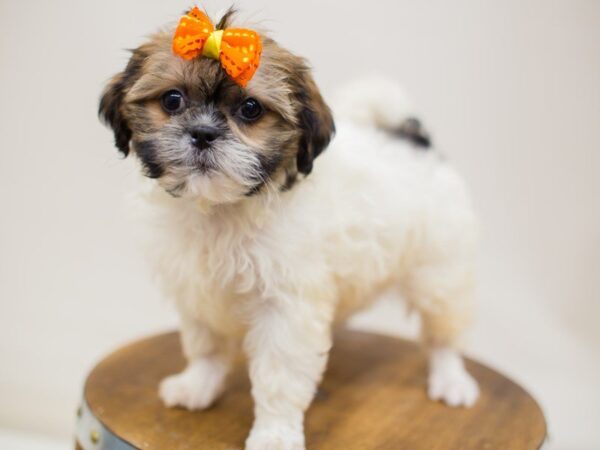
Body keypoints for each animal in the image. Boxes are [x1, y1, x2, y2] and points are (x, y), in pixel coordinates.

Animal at [101, 7, 480, 450]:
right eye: (172, 100)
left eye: (250, 108)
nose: (203, 134)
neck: (222, 208)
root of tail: (413, 140)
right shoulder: (197, 290)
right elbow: (206, 345)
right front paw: (198, 385)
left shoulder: (285, 306)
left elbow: (278, 375)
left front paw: (275, 434)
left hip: (439, 269)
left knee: (444, 331)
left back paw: (451, 379)